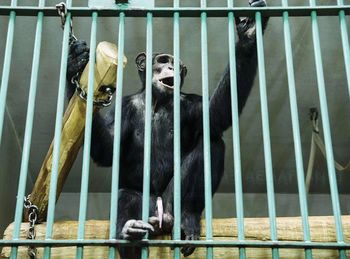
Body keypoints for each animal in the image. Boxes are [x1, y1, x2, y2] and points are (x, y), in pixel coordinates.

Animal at [66, 0, 268, 258]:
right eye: (162, 60)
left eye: (176, 65)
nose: (171, 67)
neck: (158, 102)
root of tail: (162, 215)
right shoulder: (123, 107)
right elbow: (107, 148)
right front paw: (74, 63)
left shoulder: (191, 104)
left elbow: (214, 117)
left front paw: (248, 34)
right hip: (148, 207)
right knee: (125, 195)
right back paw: (129, 234)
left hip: (171, 200)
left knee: (212, 143)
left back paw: (186, 218)